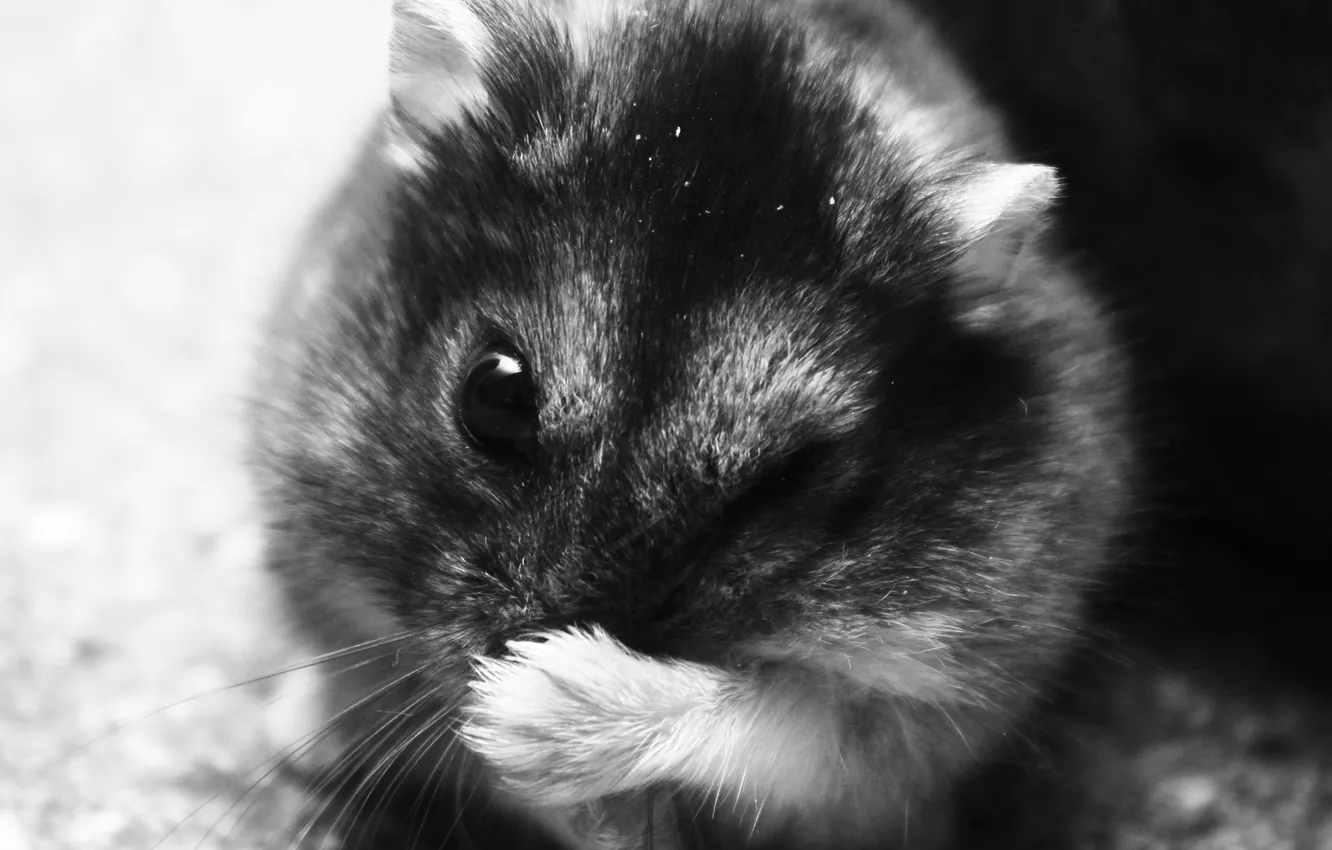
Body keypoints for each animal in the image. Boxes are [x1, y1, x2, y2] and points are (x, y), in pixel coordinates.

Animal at [249, 0, 1131, 847]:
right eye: (492, 396)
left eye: (784, 481)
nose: (514, 656)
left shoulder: (940, 697)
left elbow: (795, 729)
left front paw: (524, 710)